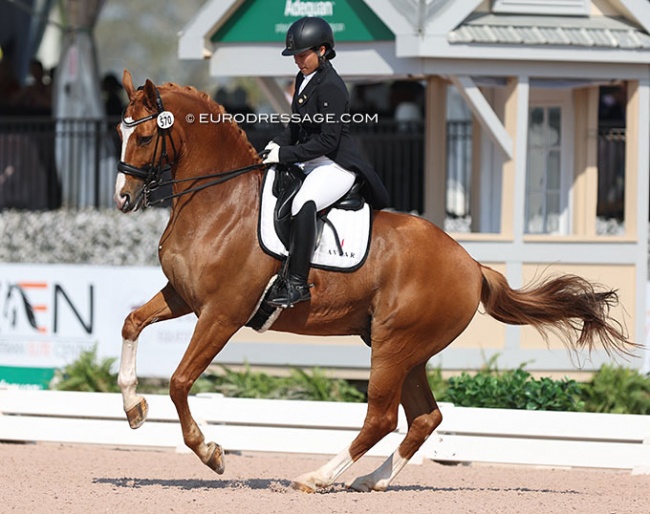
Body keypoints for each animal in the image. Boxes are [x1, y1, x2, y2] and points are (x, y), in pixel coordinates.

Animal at [112, 72, 632, 492]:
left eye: (144, 136)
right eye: (120, 131)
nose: (122, 199)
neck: (219, 201)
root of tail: (471, 264)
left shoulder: (223, 313)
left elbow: (180, 381)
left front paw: (210, 453)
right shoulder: (184, 297)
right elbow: (131, 323)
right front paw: (134, 408)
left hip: (394, 344)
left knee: (381, 417)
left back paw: (318, 477)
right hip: (406, 349)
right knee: (425, 417)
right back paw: (373, 480)